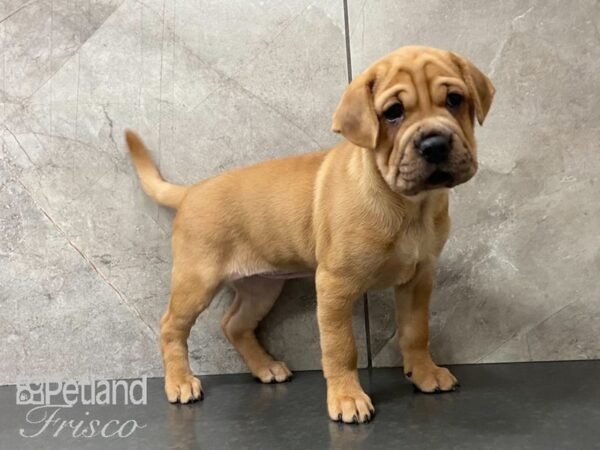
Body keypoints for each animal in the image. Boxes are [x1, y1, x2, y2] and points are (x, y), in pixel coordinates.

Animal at [125, 46, 492, 426]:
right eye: (393, 112)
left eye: (455, 99)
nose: (435, 145)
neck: (409, 205)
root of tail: (191, 192)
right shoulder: (334, 285)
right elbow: (341, 347)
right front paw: (347, 398)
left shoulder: (418, 279)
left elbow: (416, 331)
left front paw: (424, 373)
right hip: (197, 280)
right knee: (171, 326)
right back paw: (180, 382)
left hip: (261, 287)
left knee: (234, 325)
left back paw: (266, 367)